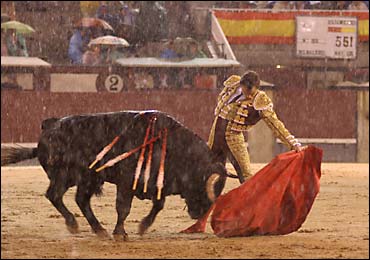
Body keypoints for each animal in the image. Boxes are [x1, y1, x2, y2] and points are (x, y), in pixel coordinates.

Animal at [2, 109, 234, 240]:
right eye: (205, 185)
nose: (199, 214)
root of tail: (48, 129)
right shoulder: (126, 182)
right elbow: (123, 208)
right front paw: (121, 233)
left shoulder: (158, 183)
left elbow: (158, 205)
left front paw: (143, 226)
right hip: (66, 175)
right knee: (55, 195)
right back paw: (73, 224)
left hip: (89, 178)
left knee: (81, 200)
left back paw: (99, 230)